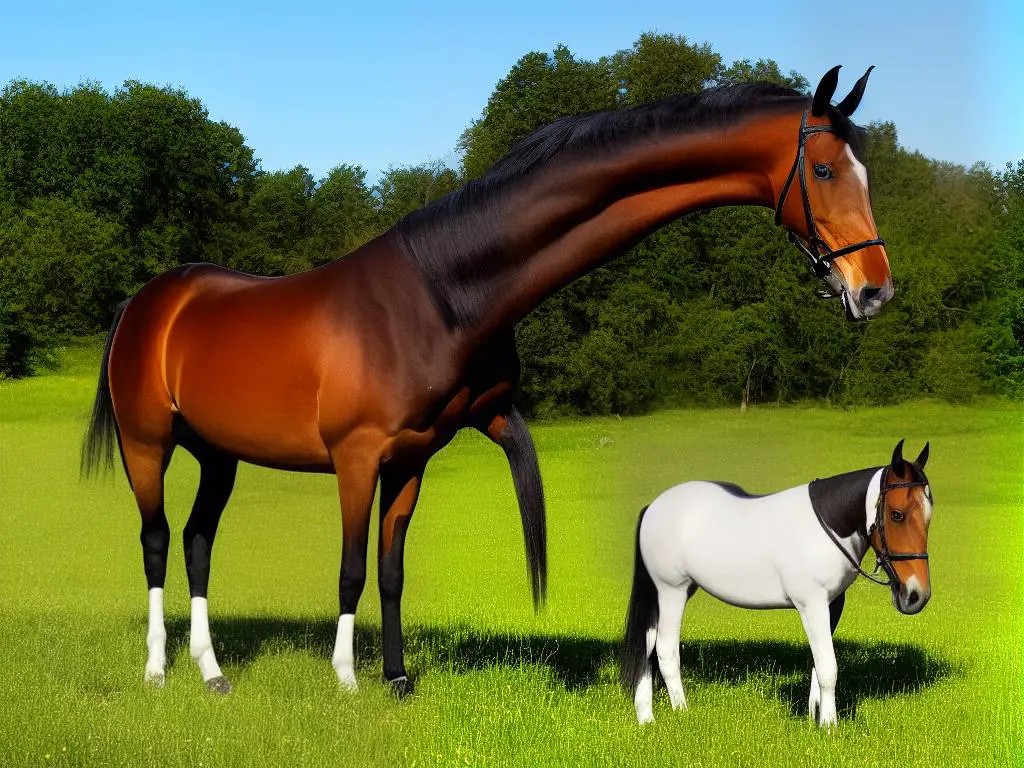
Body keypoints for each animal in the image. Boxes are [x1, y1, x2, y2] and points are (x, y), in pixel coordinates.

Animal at [81, 66, 888, 696]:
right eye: (822, 171)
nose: (874, 288)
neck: (437, 294)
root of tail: (149, 302)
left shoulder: (409, 459)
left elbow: (390, 569)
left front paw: (397, 677)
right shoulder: (356, 458)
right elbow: (350, 569)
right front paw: (346, 678)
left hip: (217, 455)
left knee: (196, 543)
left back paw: (213, 672)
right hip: (148, 446)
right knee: (156, 540)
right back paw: (158, 670)